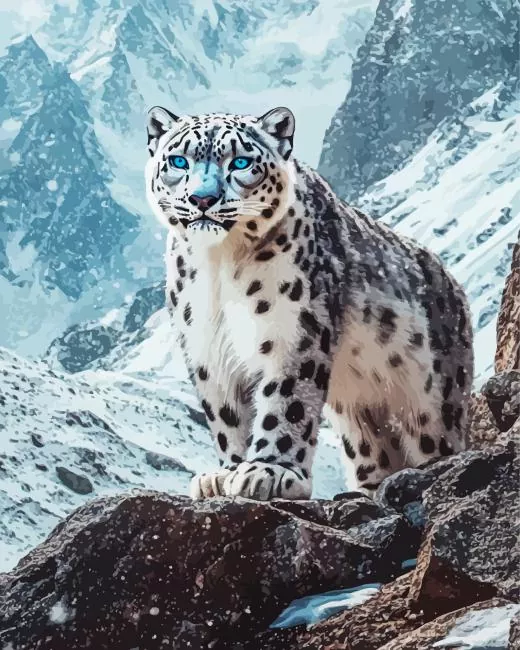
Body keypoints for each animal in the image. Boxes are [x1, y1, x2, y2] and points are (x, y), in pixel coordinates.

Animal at [145, 105, 474, 501]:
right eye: (179, 160)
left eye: (240, 162)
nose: (203, 199)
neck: (220, 264)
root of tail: (453, 285)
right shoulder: (206, 345)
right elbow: (225, 414)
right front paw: (224, 475)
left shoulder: (294, 328)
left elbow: (286, 401)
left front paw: (270, 470)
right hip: (359, 416)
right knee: (374, 448)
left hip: (433, 400)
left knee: (434, 436)